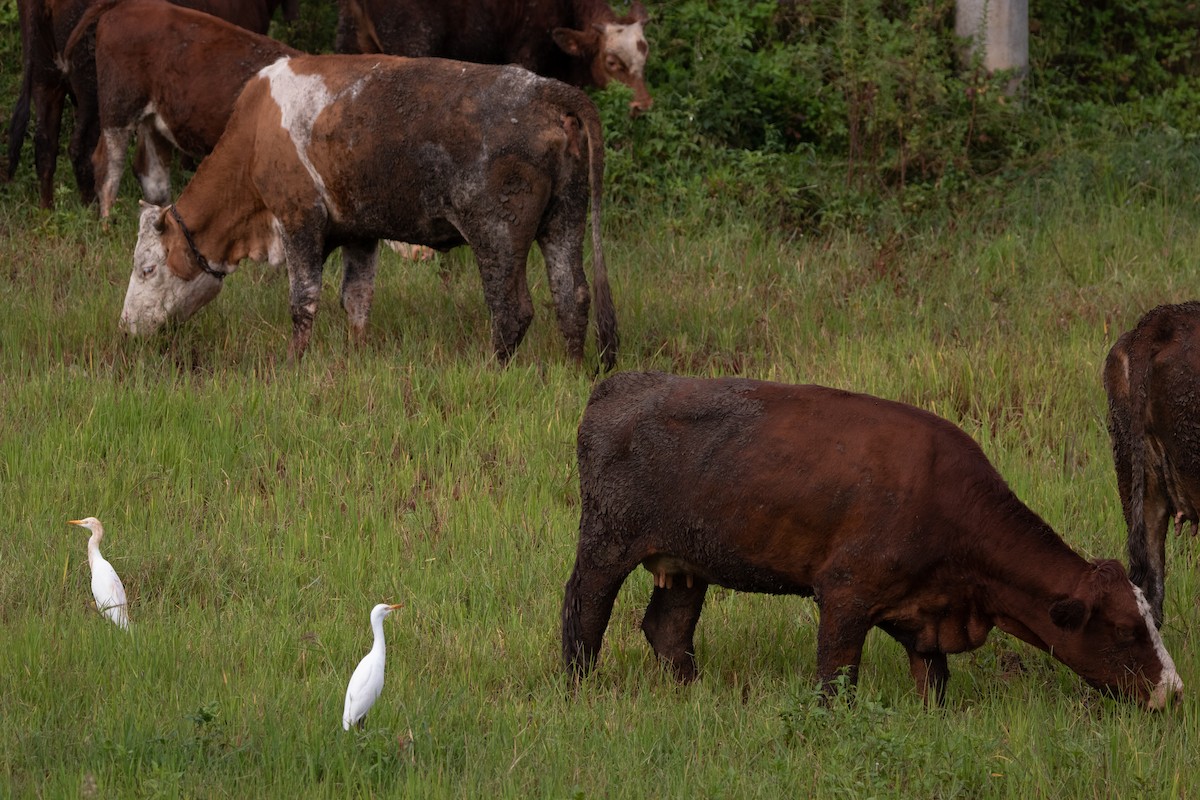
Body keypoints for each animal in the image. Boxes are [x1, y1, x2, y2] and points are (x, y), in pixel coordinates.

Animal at [119, 55, 619, 370]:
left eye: (147, 268)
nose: (125, 327)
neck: (258, 134)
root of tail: (548, 91)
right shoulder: (360, 232)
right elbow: (356, 299)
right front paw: (357, 355)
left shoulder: (299, 221)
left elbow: (303, 301)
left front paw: (292, 365)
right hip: (564, 221)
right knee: (572, 297)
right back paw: (573, 370)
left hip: (496, 235)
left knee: (511, 310)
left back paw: (496, 373)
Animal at [561, 371, 1183, 709]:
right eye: (1126, 631)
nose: (1174, 692)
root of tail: (618, 385)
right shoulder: (845, 593)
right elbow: (835, 682)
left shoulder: (927, 617)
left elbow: (934, 682)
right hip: (607, 541)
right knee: (583, 612)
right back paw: (579, 687)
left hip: (688, 561)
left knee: (668, 628)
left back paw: (693, 691)